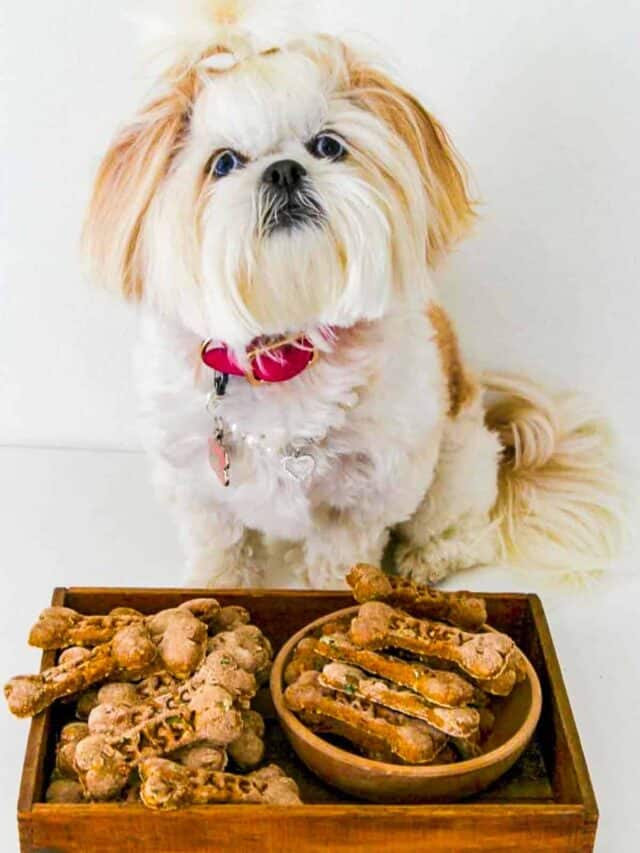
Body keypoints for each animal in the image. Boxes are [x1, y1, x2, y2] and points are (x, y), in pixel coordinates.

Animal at [81, 0, 624, 584]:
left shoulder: (366, 493)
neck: (285, 352)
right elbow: (220, 547)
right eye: (223, 163)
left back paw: (428, 557)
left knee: (463, 530)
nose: (284, 170)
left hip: (457, 465)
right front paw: (214, 586)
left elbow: (340, 557)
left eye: (327, 145)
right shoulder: (198, 485)